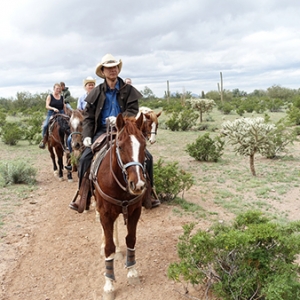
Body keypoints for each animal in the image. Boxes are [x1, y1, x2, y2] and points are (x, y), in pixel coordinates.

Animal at [91, 112, 148, 298]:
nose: (137, 184)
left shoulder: (135, 211)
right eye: (121, 147)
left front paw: (132, 271)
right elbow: (109, 247)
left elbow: (131, 239)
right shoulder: (105, 213)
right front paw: (109, 285)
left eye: (143, 145)